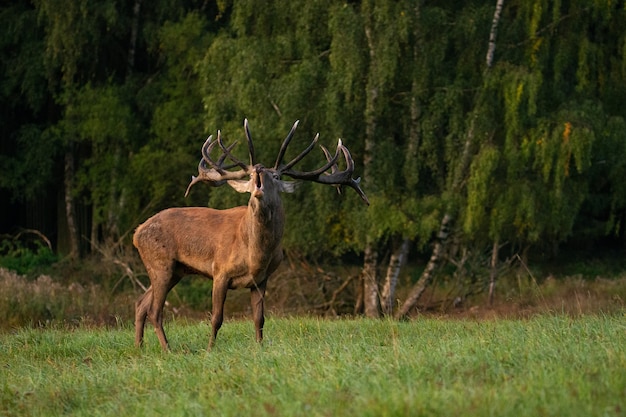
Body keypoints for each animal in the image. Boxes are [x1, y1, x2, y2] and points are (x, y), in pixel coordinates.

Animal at [131, 118, 366, 350]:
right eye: (251, 175)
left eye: (276, 175)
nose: (259, 169)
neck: (255, 256)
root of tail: (136, 233)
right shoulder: (220, 271)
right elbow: (216, 318)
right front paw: (210, 349)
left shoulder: (261, 279)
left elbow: (259, 318)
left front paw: (259, 347)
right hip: (161, 263)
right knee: (154, 310)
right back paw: (167, 349)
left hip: (176, 270)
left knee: (141, 303)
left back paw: (139, 347)